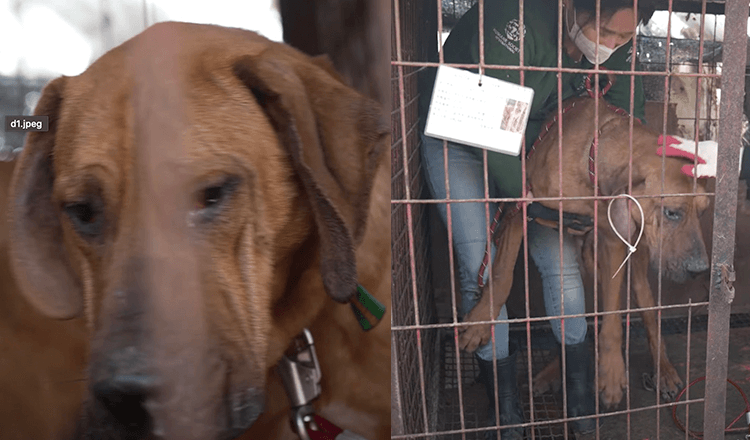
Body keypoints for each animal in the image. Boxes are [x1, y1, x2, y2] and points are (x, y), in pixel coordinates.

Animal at [458, 96, 712, 410]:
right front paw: (481, 321)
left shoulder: (613, 242)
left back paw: (663, 371)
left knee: (649, 319)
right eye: (671, 212)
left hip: (633, 272)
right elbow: (502, 274)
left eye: (702, 213)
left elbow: (612, 320)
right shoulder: (520, 209)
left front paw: (612, 372)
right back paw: (554, 371)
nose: (701, 269)